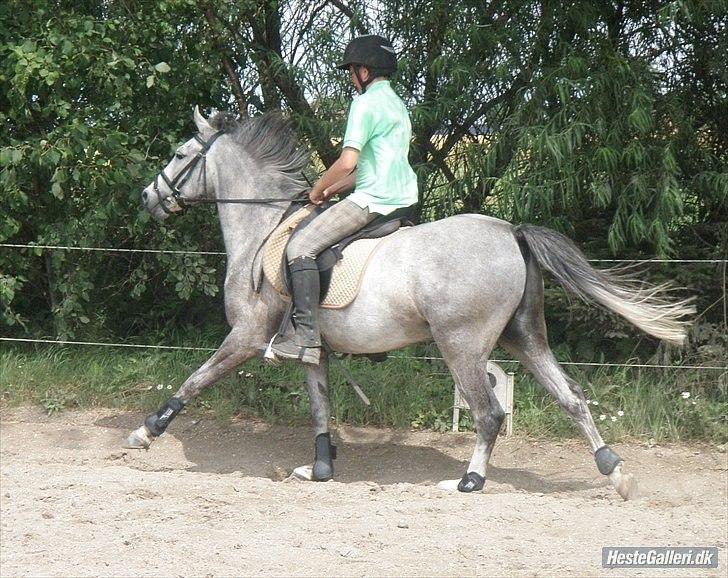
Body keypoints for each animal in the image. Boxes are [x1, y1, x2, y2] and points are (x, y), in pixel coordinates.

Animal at [126, 108, 692, 500]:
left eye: (180, 154)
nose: (148, 198)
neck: (263, 227)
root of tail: (511, 231)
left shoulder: (246, 337)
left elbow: (195, 379)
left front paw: (144, 432)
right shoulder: (313, 349)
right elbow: (319, 406)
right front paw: (322, 468)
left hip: (461, 345)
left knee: (488, 413)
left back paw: (469, 481)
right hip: (524, 336)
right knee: (571, 397)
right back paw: (615, 473)